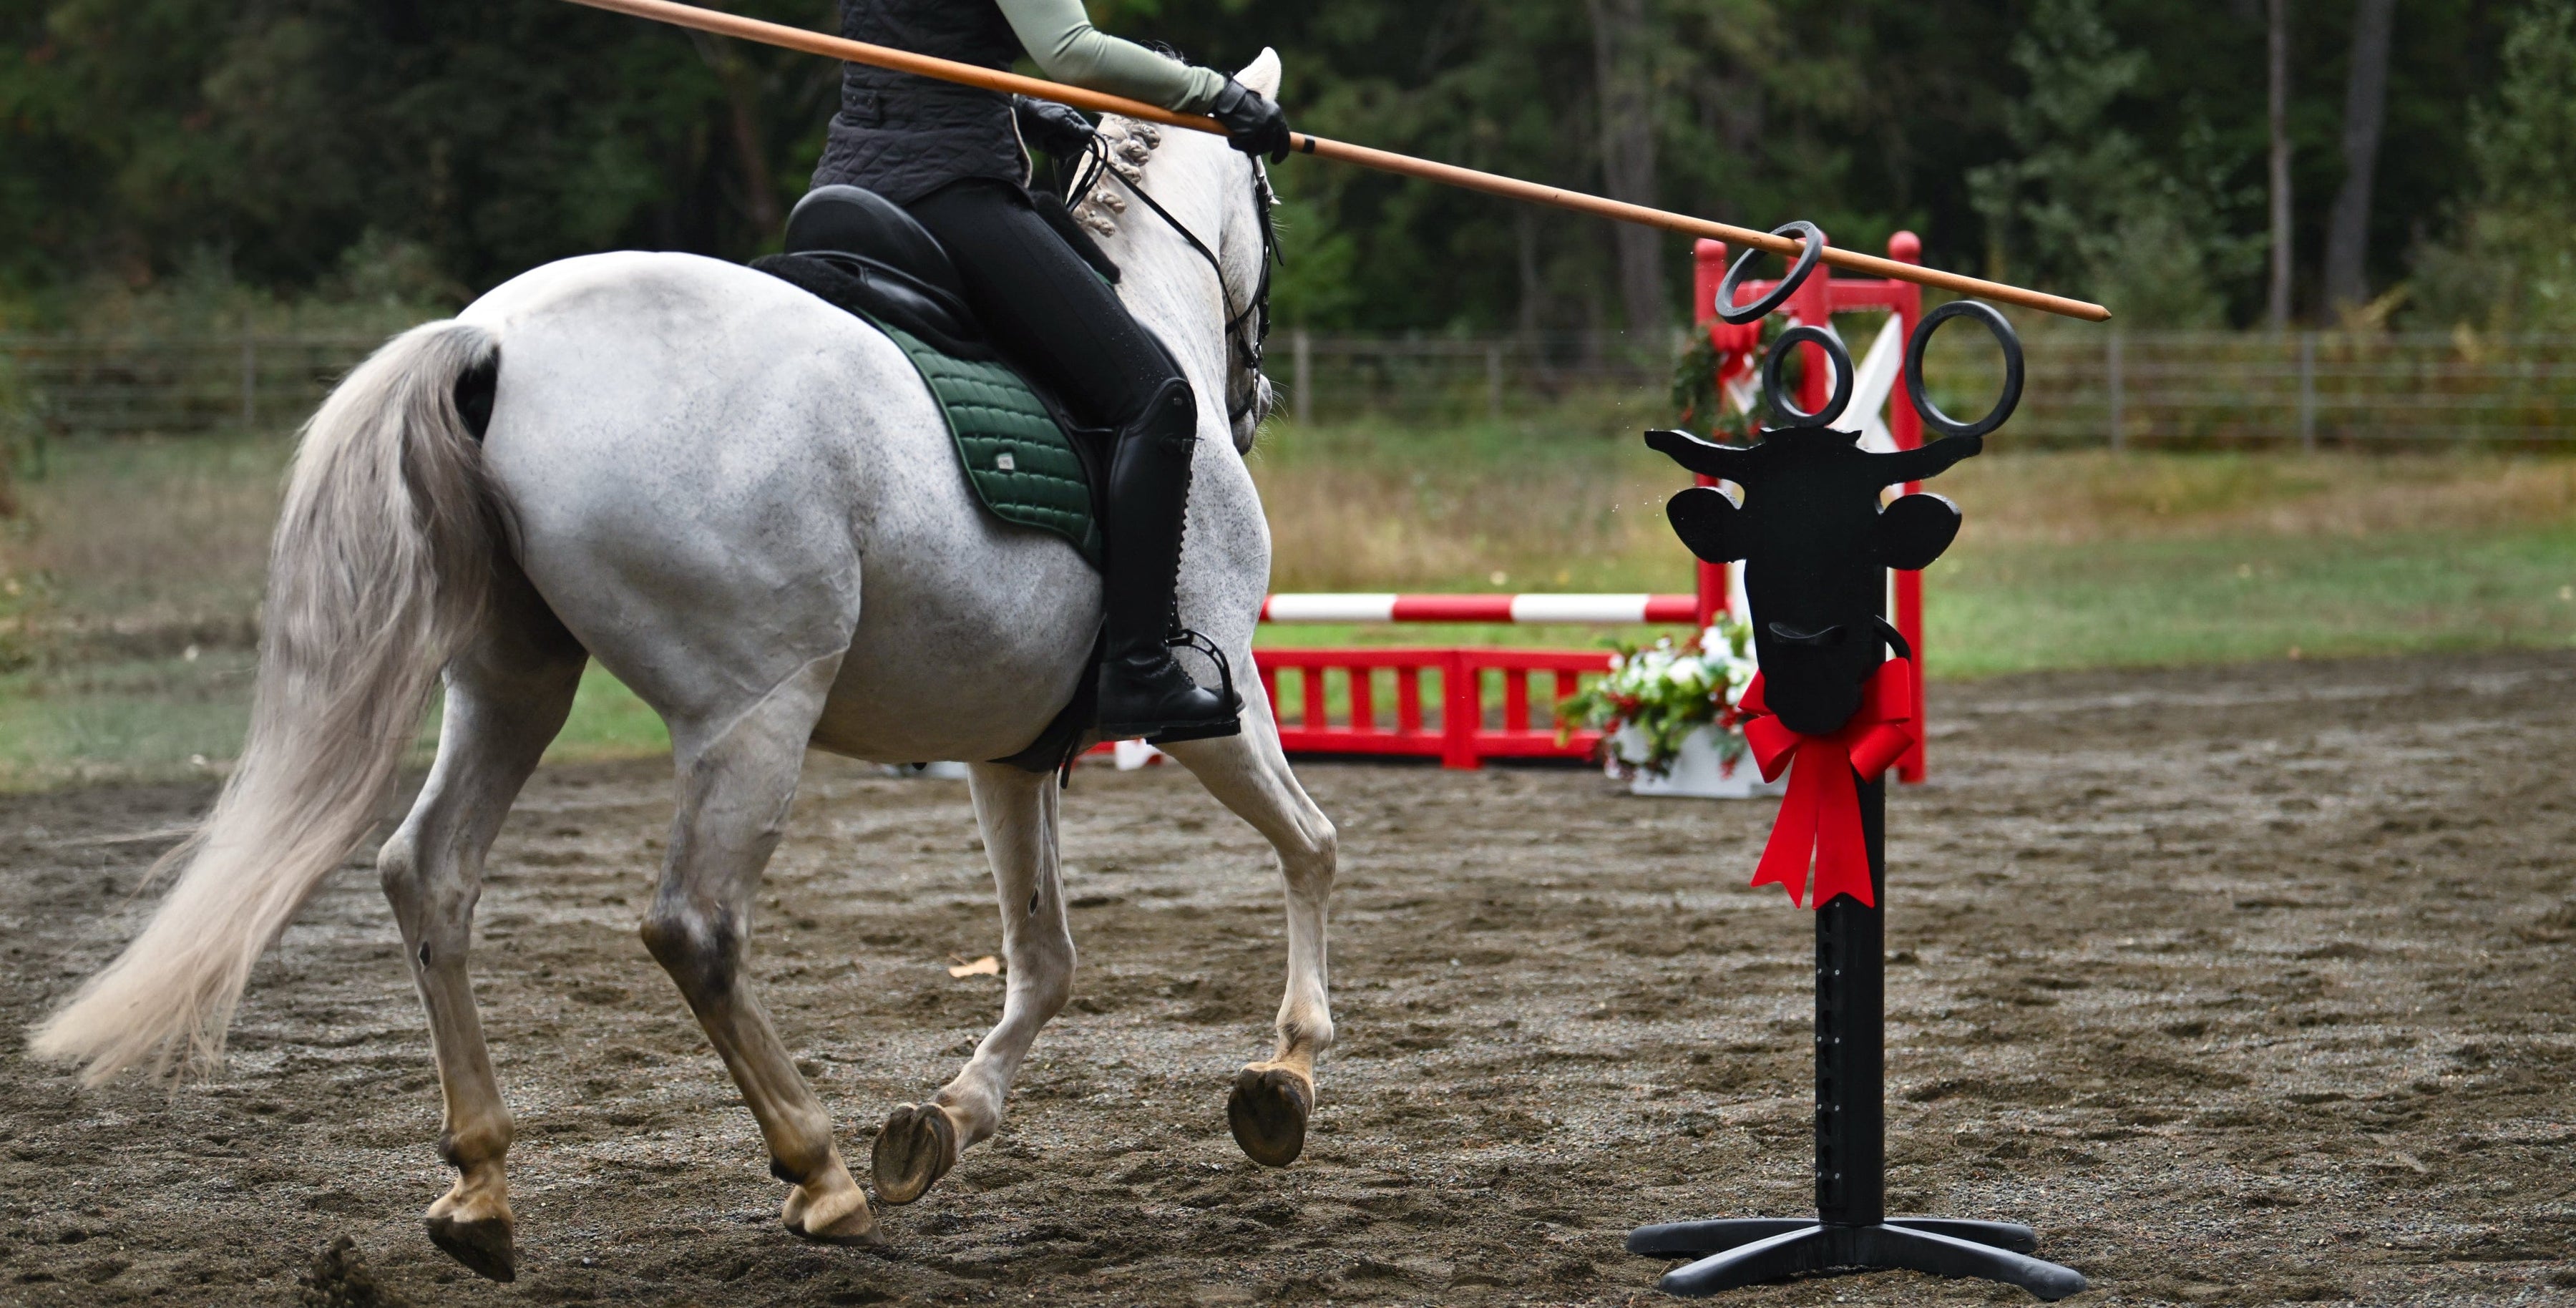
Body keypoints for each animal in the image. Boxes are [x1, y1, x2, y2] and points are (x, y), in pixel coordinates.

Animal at [28, 50, 1337, 1281]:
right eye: (1271, 202)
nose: (1258, 391)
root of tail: (493, 339)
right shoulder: (1217, 704)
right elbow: (1311, 846)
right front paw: (1288, 1071)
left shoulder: (1005, 751)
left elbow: (1045, 959)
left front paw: (947, 1119)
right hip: (754, 706)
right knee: (694, 927)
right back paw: (816, 1172)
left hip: (513, 682)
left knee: (428, 873)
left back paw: (482, 1185)